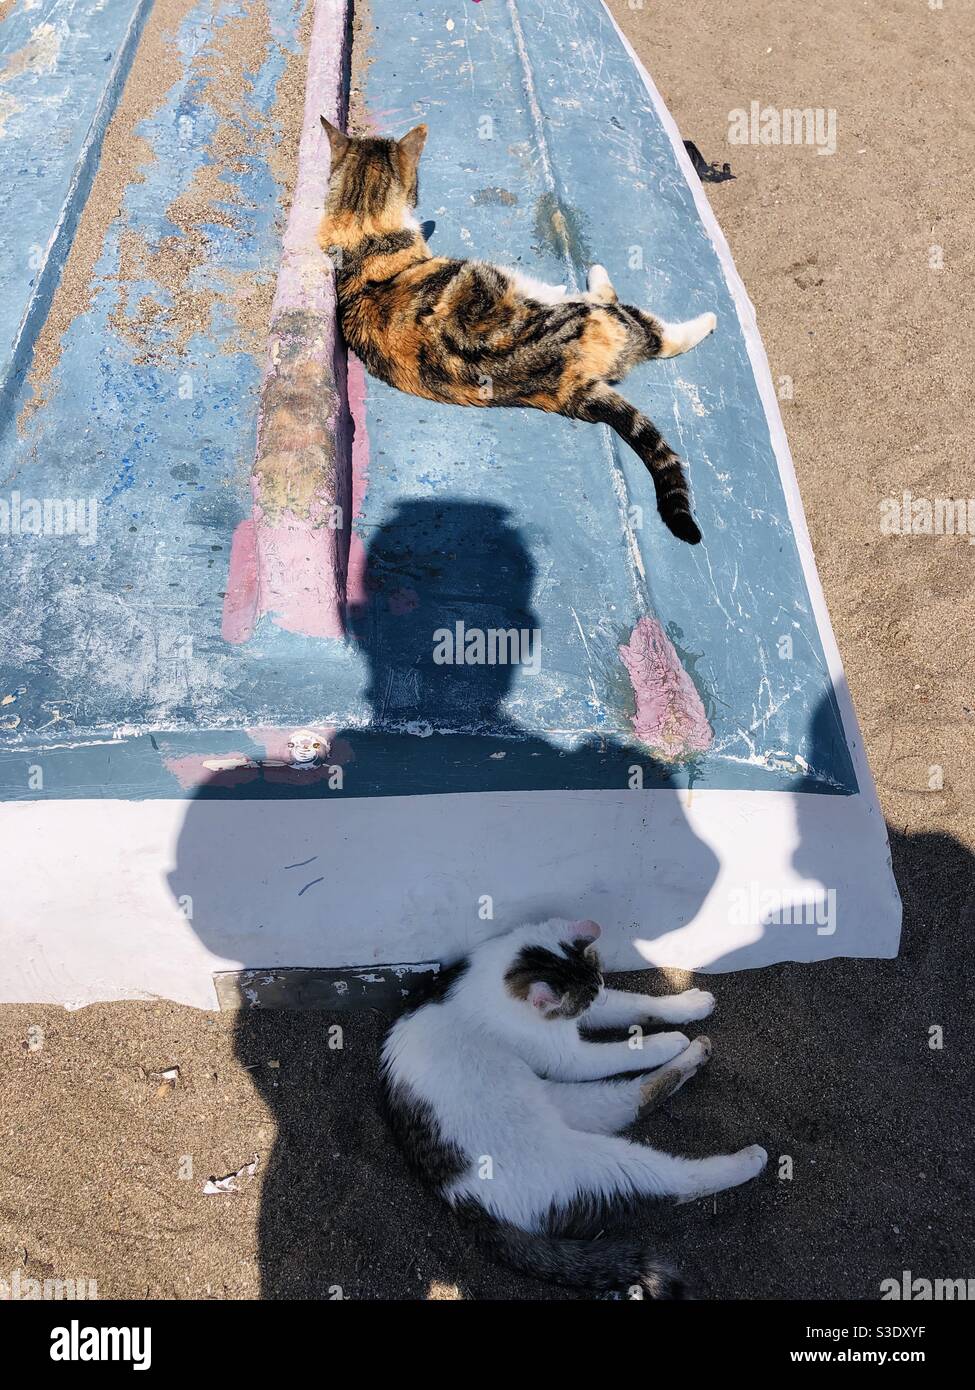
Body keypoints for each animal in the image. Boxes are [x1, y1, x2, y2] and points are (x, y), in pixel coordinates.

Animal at [381, 917, 767, 1295]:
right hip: (591, 1161)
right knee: (675, 1181)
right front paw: (663, 1041)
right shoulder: (567, 1058)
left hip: (572, 1102)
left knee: (632, 1099)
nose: (598, 1000)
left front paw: (688, 1006)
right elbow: (619, 1051)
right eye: (585, 999)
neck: (503, 973)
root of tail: (465, 1203)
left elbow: (635, 1004)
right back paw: (746, 1158)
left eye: (599, 984)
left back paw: (695, 1054)